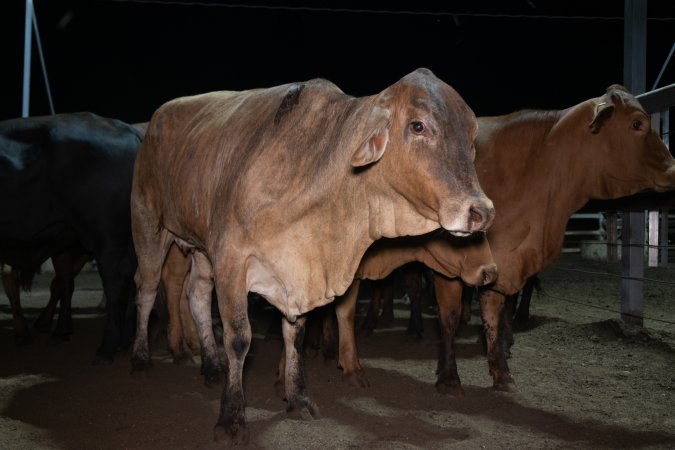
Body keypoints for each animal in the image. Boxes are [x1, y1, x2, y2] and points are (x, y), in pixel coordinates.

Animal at [128, 67, 496, 442]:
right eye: (418, 126)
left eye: (471, 134)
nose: (481, 212)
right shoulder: (231, 260)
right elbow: (239, 338)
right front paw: (231, 418)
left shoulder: (296, 272)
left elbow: (296, 334)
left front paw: (298, 399)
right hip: (148, 223)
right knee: (147, 289)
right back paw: (141, 359)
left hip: (199, 248)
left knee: (197, 295)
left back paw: (211, 366)